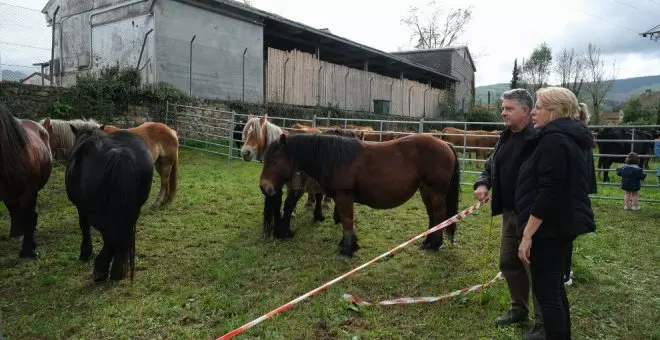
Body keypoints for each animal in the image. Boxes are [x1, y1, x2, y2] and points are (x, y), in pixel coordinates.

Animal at [66, 125, 155, 282]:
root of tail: (119, 154)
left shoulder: (81, 207)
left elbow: (84, 226)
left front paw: (85, 252)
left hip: (99, 212)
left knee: (110, 236)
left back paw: (102, 270)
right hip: (133, 208)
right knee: (123, 234)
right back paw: (119, 270)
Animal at [258, 133, 458, 258]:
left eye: (274, 160)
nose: (264, 187)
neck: (334, 158)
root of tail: (446, 145)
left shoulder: (344, 195)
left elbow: (347, 220)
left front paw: (347, 250)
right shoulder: (339, 197)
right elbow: (346, 221)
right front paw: (347, 244)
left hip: (436, 191)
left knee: (439, 215)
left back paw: (434, 245)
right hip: (426, 191)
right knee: (433, 216)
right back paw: (427, 242)